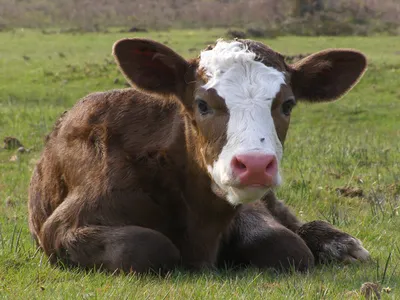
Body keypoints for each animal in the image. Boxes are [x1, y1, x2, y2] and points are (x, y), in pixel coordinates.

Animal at [28, 37, 370, 272]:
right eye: (202, 104)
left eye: (287, 104)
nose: (255, 165)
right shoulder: (63, 227)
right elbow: (147, 245)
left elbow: (285, 244)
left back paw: (342, 244)